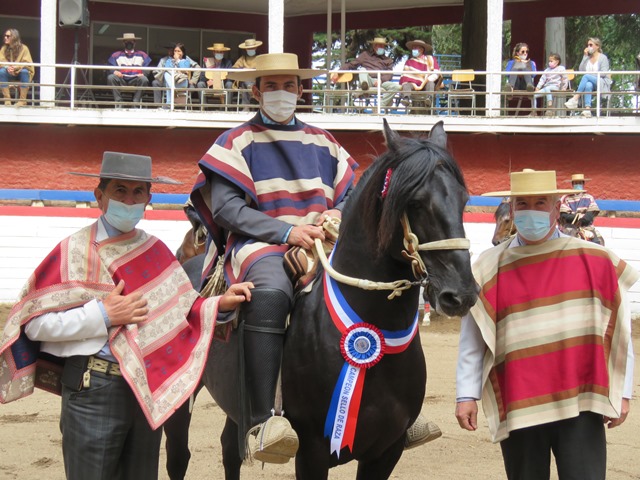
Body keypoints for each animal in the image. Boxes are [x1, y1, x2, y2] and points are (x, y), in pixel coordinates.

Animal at [195, 119, 478, 480]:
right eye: (415, 202)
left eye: (464, 199)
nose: (461, 293)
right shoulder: (312, 452)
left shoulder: (386, 451)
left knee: (230, 448)